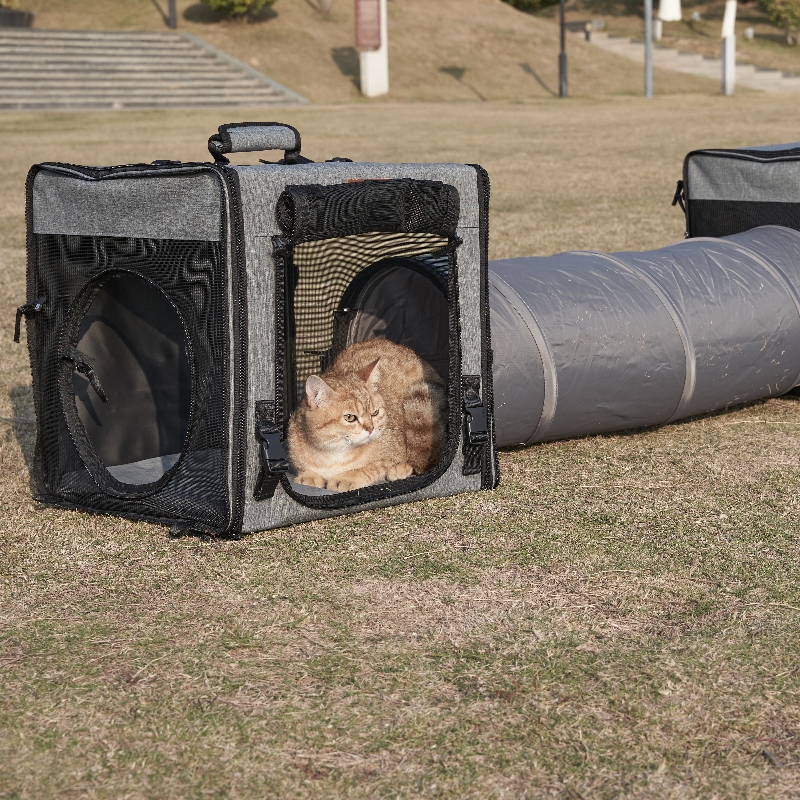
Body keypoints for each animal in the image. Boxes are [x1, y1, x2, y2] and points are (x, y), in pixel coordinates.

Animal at [288, 340, 450, 494]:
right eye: (350, 417)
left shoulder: (390, 454)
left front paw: (348, 477)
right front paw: (308, 476)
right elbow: (304, 469)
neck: (333, 454)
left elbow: (372, 467)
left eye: (375, 413)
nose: (370, 428)